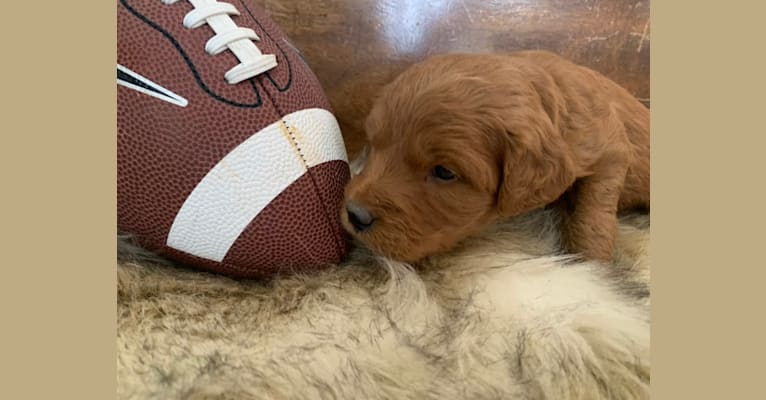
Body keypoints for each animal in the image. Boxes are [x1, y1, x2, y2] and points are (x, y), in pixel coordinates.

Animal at [344, 50, 652, 262]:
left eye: (444, 172)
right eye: (373, 144)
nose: (355, 214)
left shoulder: (611, 150)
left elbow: (593, 214)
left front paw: (591, 265)